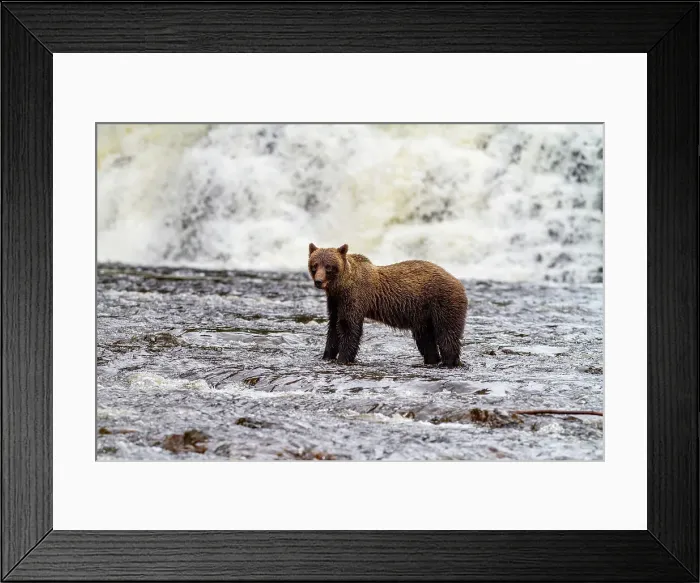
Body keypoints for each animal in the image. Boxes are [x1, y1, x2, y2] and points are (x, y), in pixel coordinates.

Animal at [308, 243, 468, 367]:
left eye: (328, 266)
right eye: (315, 265)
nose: (318, 281)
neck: (341, 286)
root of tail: (458, 281)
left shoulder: (354, 297)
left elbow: (349, 328)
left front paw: (343, 358)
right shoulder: (335, 301)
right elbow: (334, 327)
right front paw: (327, 356)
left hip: (443, 302)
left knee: (447, 334)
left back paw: (449, 362)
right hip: (424, 315)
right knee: (425, 339)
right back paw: (432, 360)